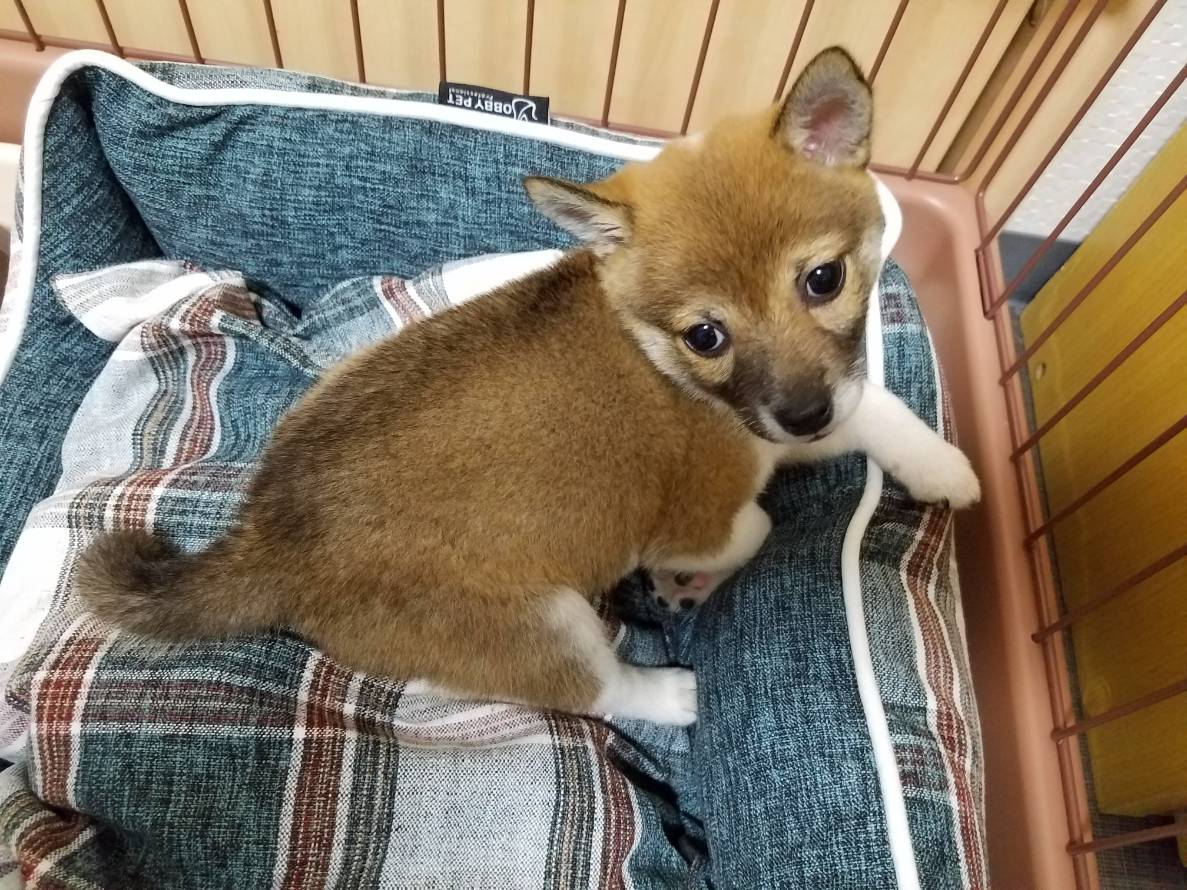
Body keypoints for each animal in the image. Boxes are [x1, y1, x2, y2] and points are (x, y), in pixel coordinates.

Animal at [78, 47, 979, 727]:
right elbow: (752, 528)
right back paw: (667, 695)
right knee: (593, 689)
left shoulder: (798, 411)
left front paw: (938, 463)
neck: (660, 357)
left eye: (823, 280)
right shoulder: (701, 507)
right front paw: (686, 584)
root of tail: (266, 541)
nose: (802, 413)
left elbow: (873, 405)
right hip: (540, 623)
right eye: (705, 335)